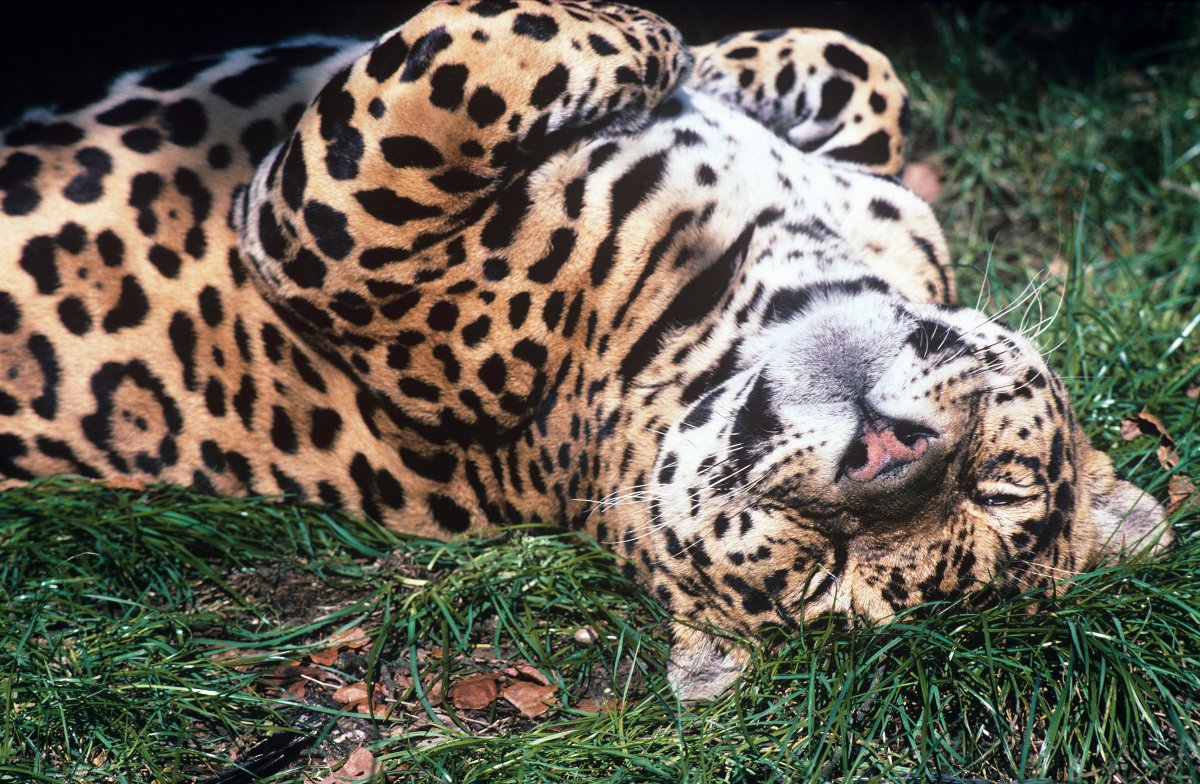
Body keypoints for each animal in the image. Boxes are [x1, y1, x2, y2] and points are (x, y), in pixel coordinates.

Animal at [0, 0, 1171, 699]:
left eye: (822, 574)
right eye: (999, 486)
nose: (887, 461)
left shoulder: (324, 235)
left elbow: (447, 81)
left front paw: (655, 50)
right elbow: (865, 66)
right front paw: (712, 64)